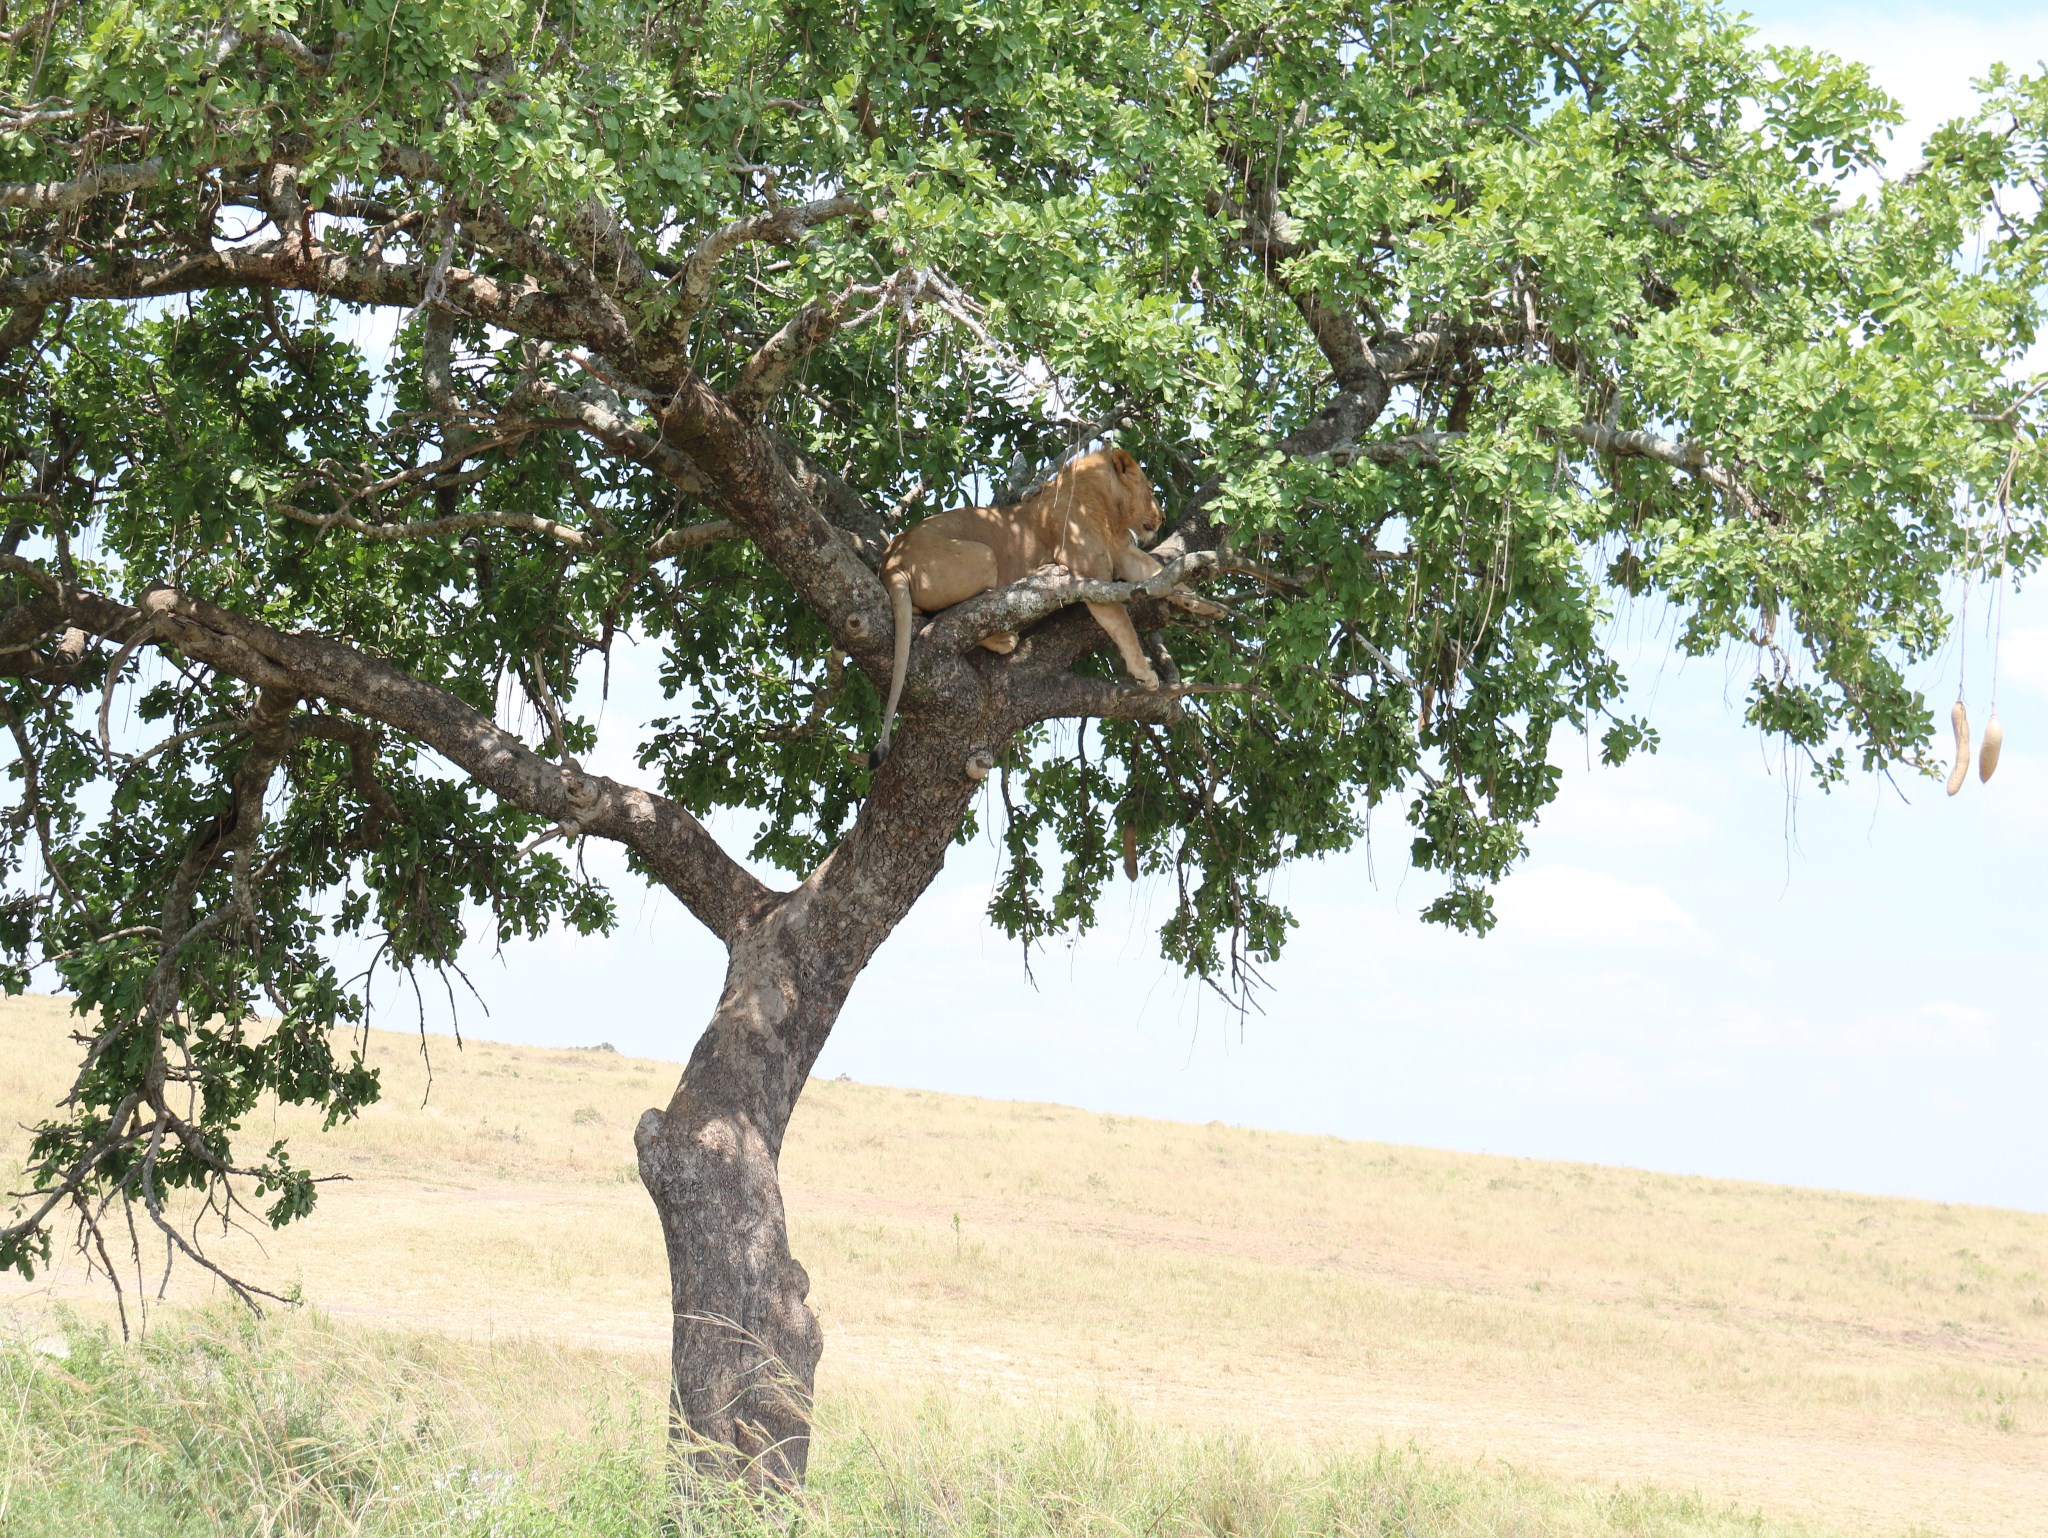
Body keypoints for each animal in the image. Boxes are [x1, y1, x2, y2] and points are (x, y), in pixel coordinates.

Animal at [872, 444, 1171, 765]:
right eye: (1150, 489)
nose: (1164, 517)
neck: (1108, 510)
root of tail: (891, 560)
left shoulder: (1125, 553)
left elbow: (1163, 574)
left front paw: (1193, 598)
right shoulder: (1091, 577)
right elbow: (1123, 626)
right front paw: (1145, 673)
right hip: (984, 555)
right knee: (968, 614)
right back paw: (1005, 638)